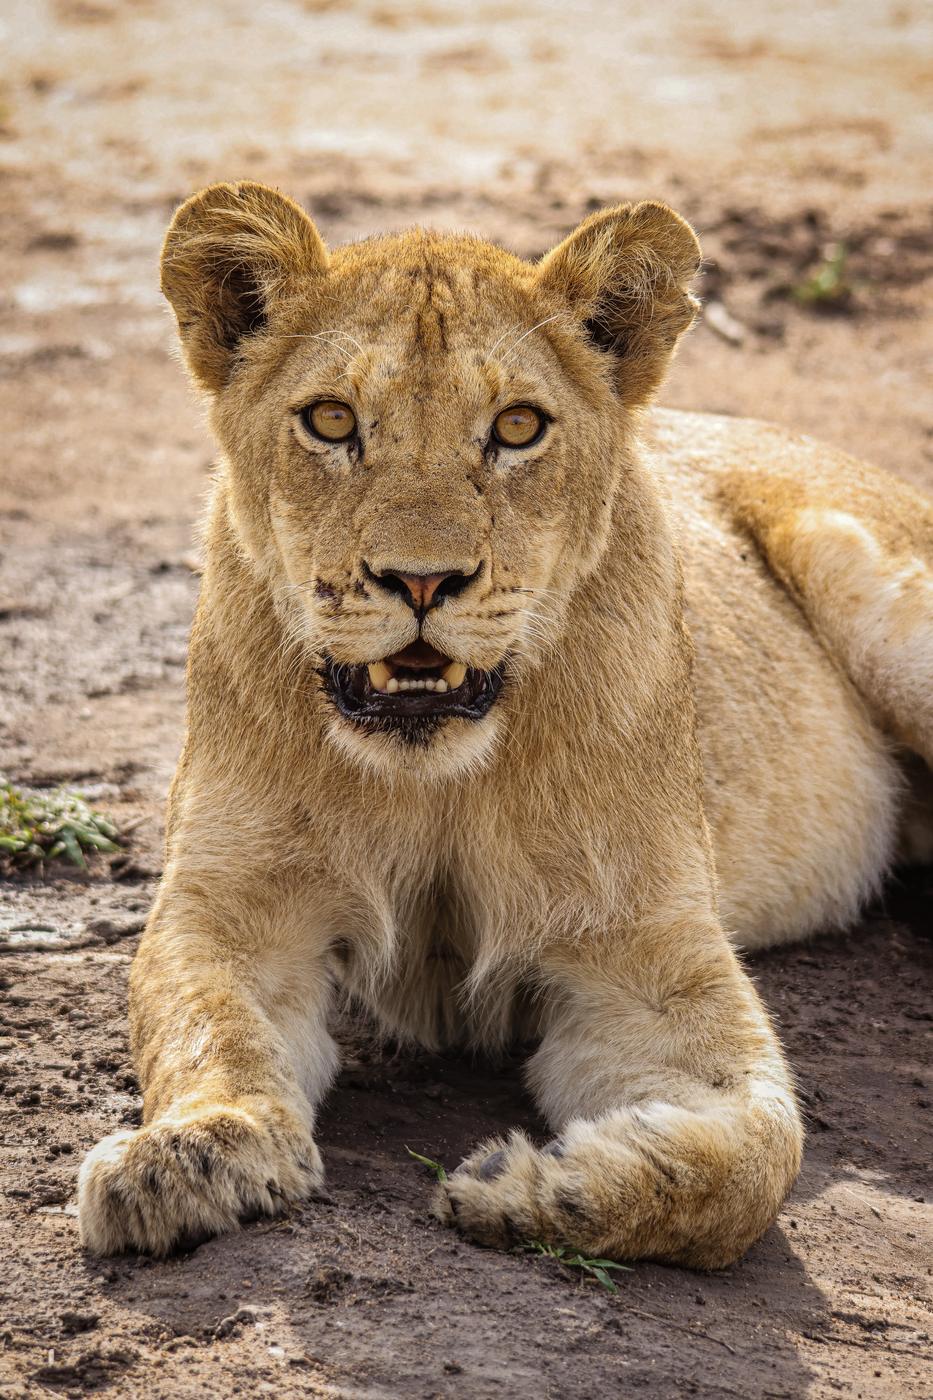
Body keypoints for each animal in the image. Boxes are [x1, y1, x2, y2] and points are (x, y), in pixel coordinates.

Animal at [77, 182, 933, 1267]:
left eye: (518, 427)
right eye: (331, 419)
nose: (421, 580)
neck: (437, 777)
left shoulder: (639, 948)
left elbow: (755, 1158)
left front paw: (535, 1186)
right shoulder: (236, 905)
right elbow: (206, 1025)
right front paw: (191, 1153)